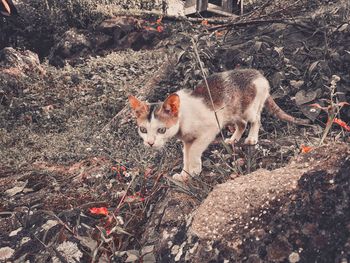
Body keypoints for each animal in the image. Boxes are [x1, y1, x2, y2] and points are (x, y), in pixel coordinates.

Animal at [129, 69, 308, 183]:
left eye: (161, 130)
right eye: (143, 130)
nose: (150, 143)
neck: (183, 117)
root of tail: (260, 75)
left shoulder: (209, 129)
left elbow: (194, 151)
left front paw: (195, 170)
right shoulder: (187, 141)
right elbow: (186, 155)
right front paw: (185, 174)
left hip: (249, 109)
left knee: (256, 120)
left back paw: (251, 138)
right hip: (232, 114)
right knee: (242, 124)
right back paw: (233, 139)